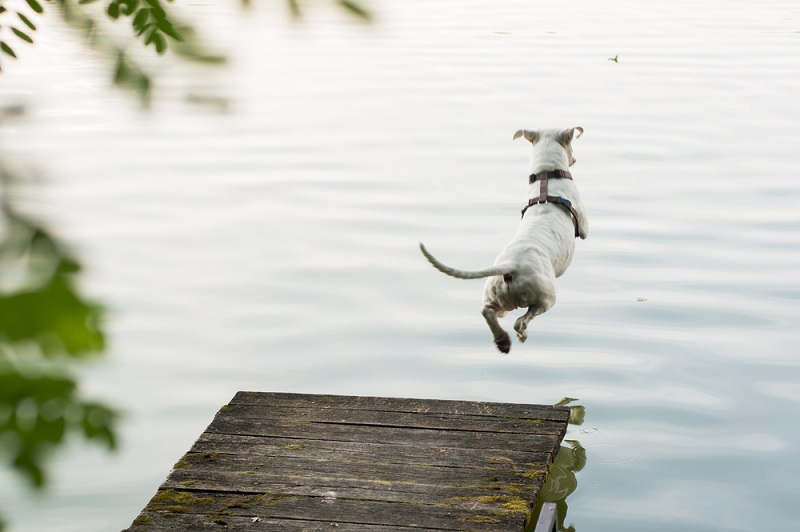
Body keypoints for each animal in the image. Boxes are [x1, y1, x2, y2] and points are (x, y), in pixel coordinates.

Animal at [418, 127, 588, 354]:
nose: (575, 159)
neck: (546, 176)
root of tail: (511, 266)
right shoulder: (584, 223)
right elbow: (585, 231)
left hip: (497, 297)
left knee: (487, 311)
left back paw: (502, 340)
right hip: (546, 296)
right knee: (522, 320)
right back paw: (519, 334)